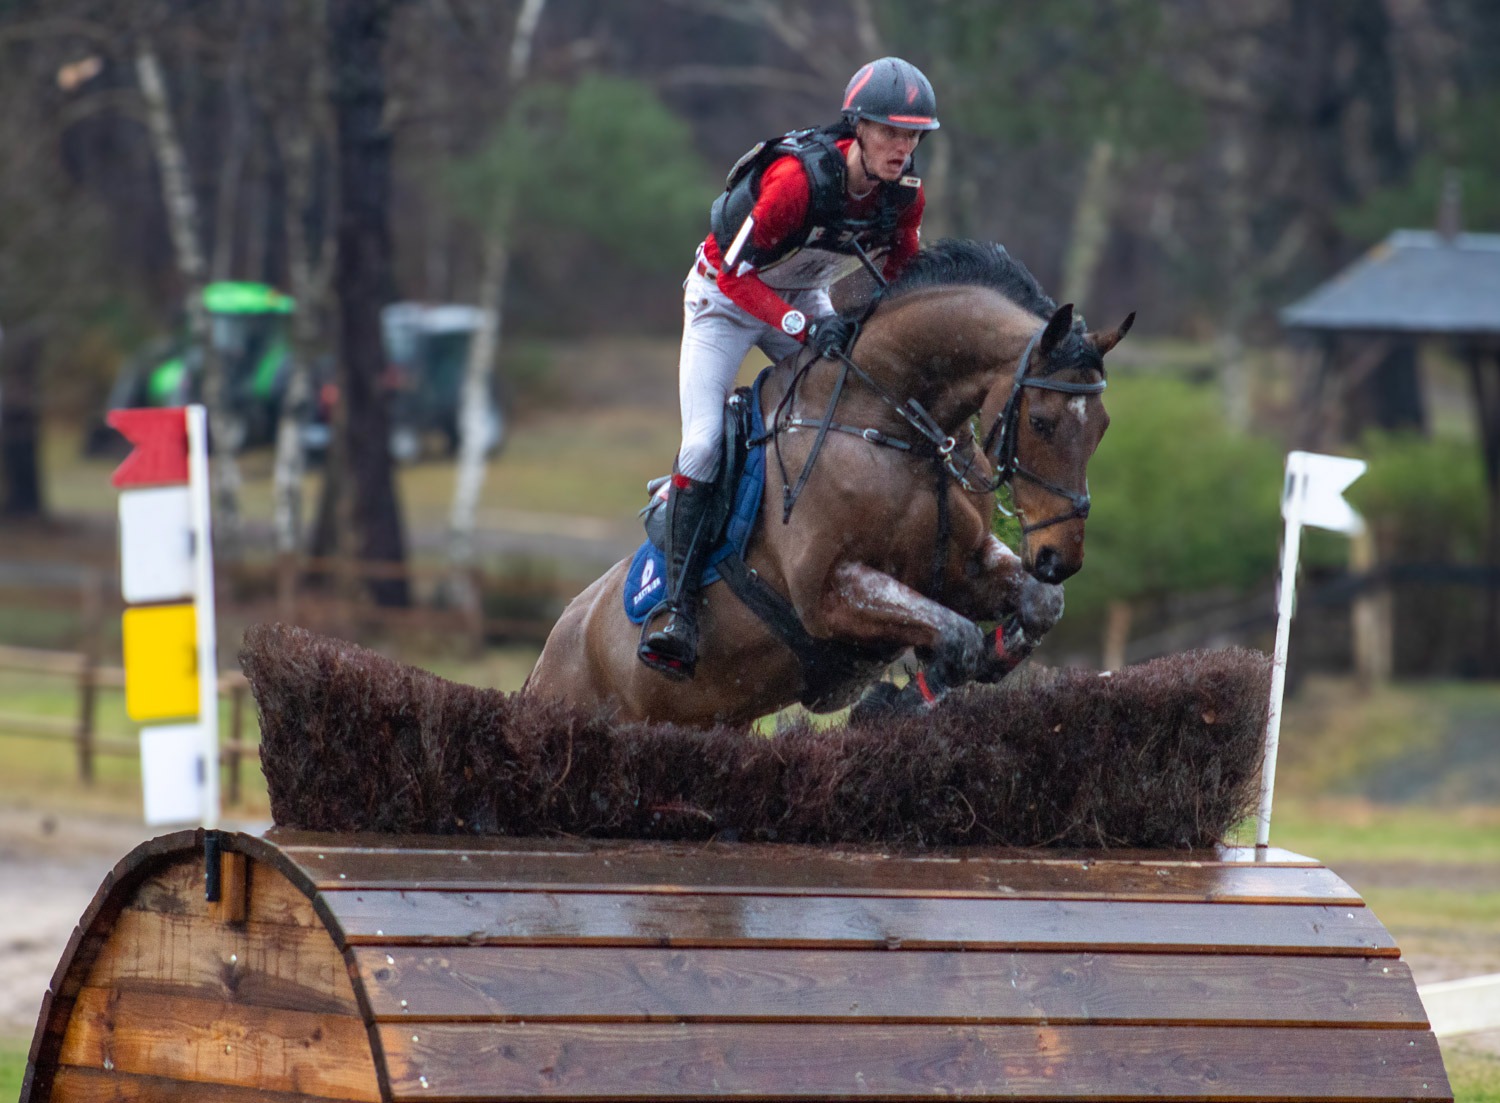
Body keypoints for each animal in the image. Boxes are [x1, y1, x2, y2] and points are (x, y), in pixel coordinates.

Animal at [522, 237, 1128, 729]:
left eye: (1103, 427)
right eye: (1041, 422)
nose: (1060, 556)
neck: (891, 428)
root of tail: (544, 661)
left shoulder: (962, 566)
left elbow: (1038, 606)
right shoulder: (829, 591)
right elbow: (958, 635)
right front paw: (893, 702)